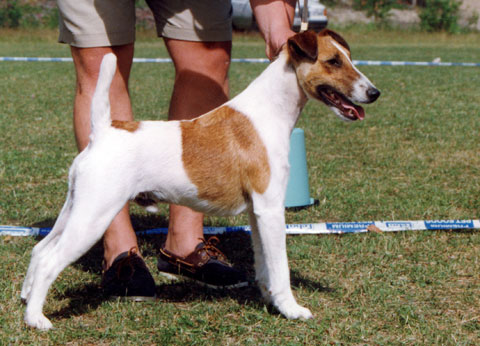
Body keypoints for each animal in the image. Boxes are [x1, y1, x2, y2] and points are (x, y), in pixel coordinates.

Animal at [22, 30, 380, 330]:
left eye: (349, 57)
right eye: (333, 61)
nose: (374, 93)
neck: (268, 111)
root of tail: (103, 132)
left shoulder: (257, 213)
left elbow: (264, 263)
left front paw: (268, 299)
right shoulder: (270, 208)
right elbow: (281, 267)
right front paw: (291, 309)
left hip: (76, 209)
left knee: (40, 250)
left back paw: (26, 298)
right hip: (94, 216)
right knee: (50, 260)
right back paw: (36, 319)